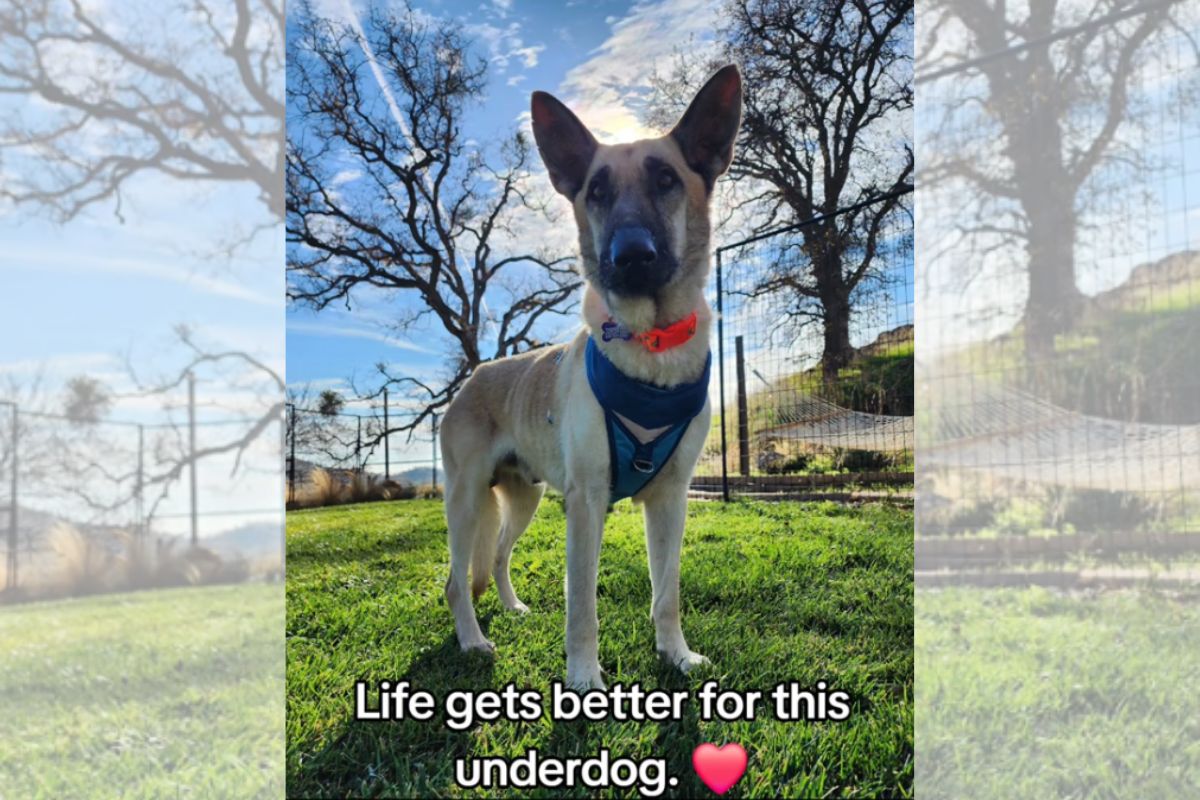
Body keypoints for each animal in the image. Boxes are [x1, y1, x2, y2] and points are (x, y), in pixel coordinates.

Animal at [441, 64, 739, 690]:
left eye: (666, 179)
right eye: (595, 192)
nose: (631, 256)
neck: (650, 348)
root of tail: (475, 375)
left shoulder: (670, 499)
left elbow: (667, 592)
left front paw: (675, 655)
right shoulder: (585, 502)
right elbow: (582, 604)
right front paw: (583, 680)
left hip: (523, 497)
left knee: (497, 556)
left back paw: (510, 608)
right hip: (466, 498)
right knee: (456, 581)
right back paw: (474, 640)